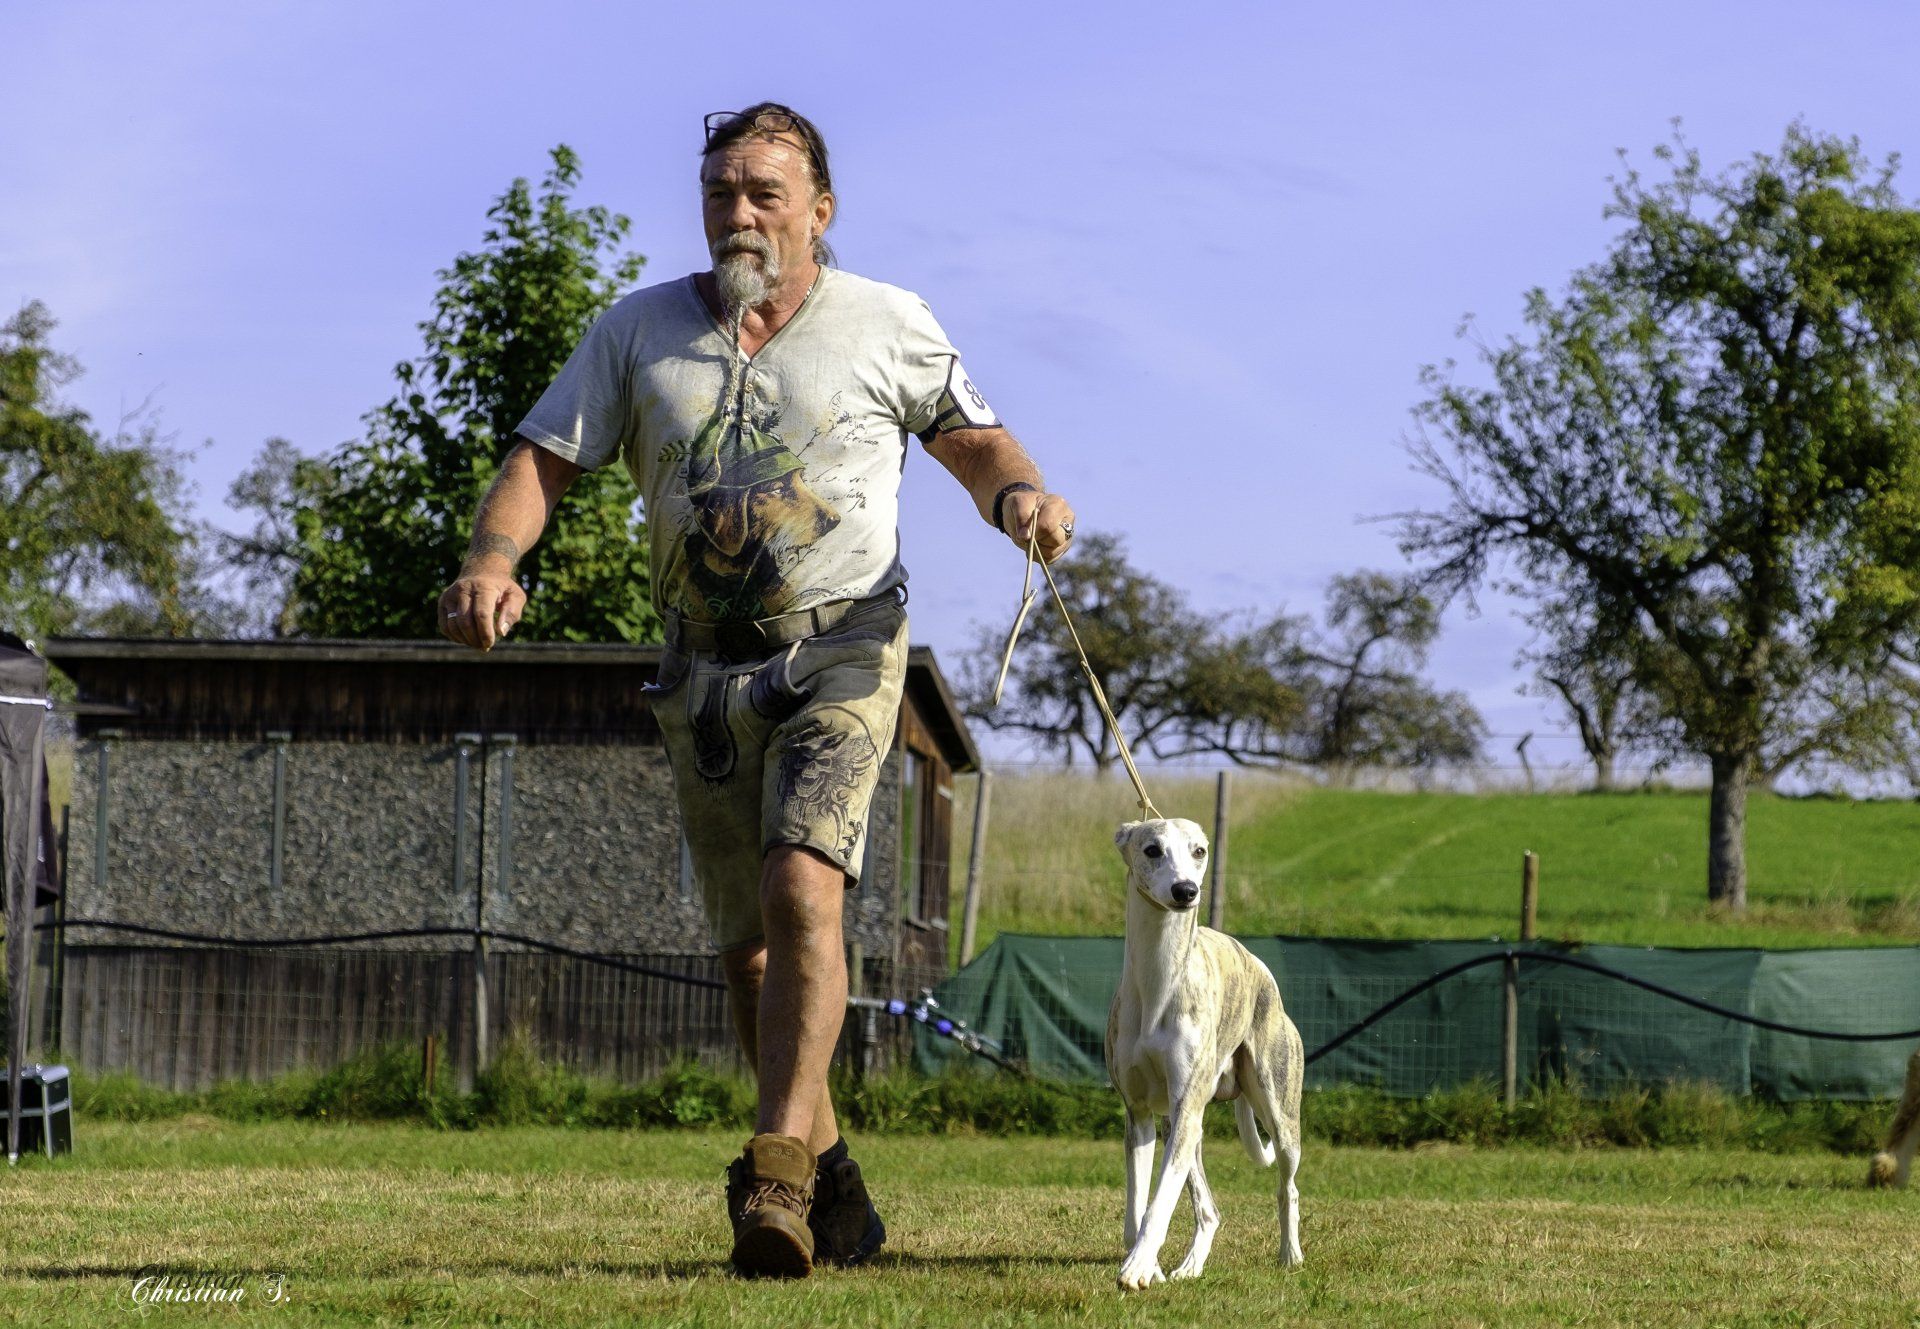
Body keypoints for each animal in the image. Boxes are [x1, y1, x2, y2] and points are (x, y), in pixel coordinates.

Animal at [1104, 818, 1304, 1290]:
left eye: (1199, 851)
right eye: (1152, 849)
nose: (1186, 891)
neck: (1159, 982)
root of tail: (1258, 965)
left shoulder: (1186, 1102)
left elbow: (1159, 1204)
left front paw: (1137, 1269)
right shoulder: (1139, 1114)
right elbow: (1138, 1207)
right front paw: (1148, 1265)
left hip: (1278, 1111)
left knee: (1287, 1186)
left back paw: (1290, 1255)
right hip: (1180, 1122)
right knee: (1209, 1210)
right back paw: (1189, 1267)